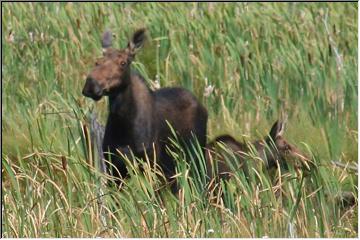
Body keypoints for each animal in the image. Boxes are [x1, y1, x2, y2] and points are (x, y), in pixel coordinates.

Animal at [82, 28, 208, 191]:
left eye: (123, 63)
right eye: (97, 62)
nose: (91, 85)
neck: (123, 124)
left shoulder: (150, 166)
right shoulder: (114, 169)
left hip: (195, 156)